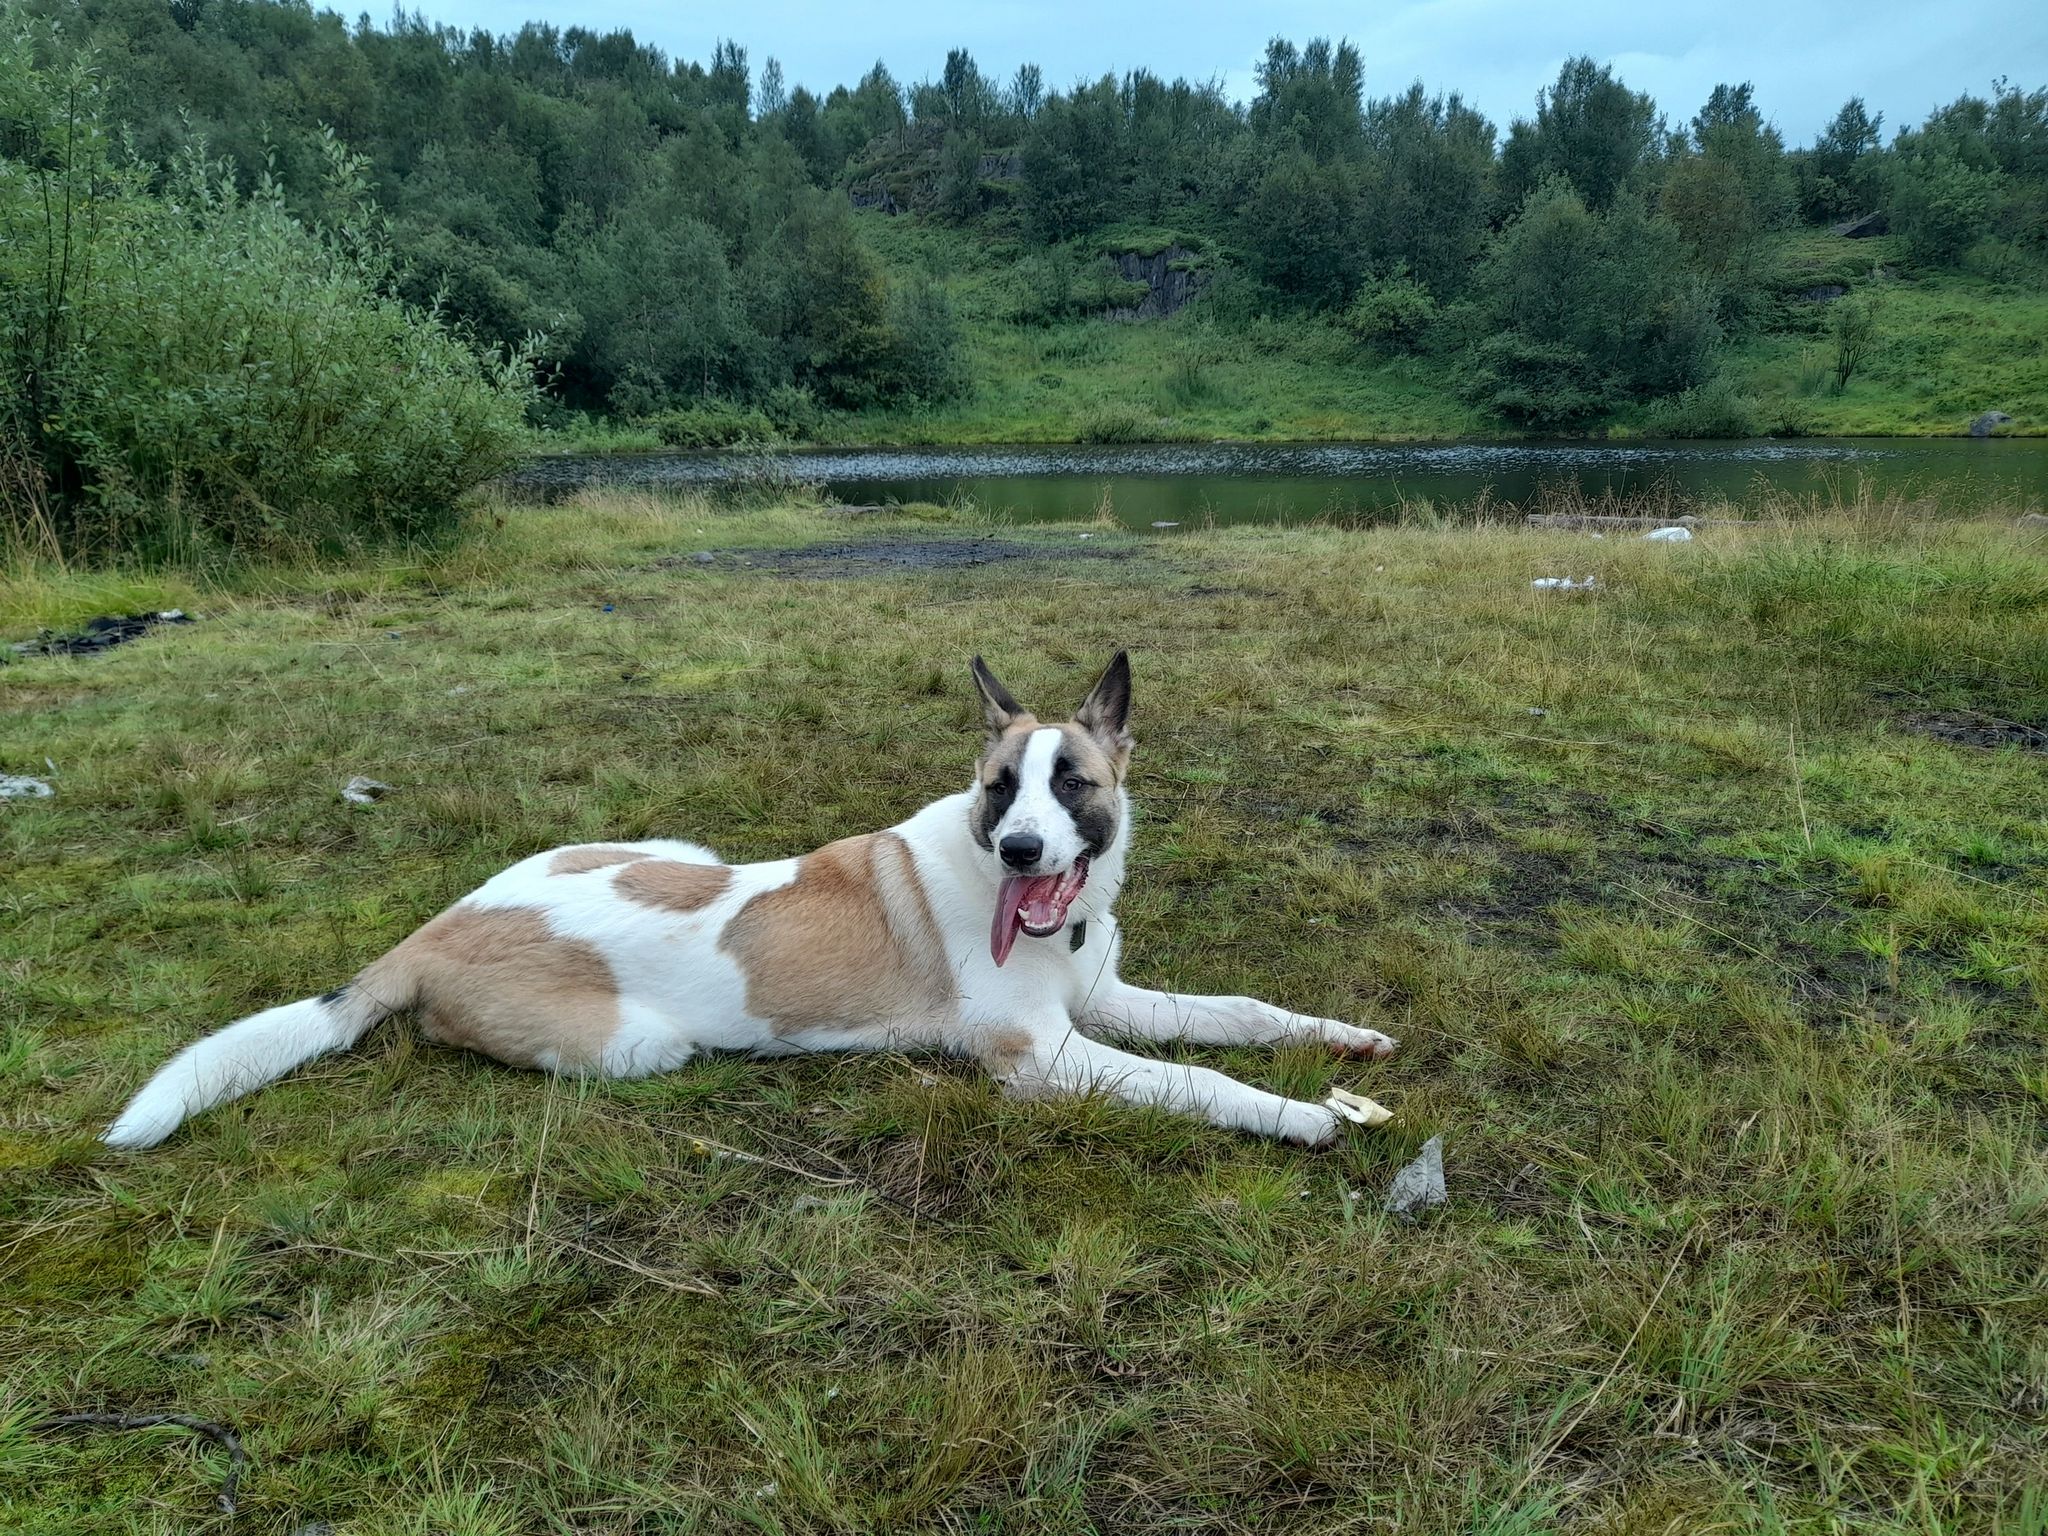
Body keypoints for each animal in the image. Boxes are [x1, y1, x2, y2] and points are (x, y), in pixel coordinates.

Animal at [103, 651, 1400, 1155]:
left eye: (1070, 781)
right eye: (997, 789)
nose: (1024, 848)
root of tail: (433, 929)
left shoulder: (1107, 1001)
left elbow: (1240, 1016)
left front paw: (1341, 1043)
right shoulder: (1044, 1057)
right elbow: (1198, 1080)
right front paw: (1298, 1117)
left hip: (661, 845)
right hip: (642, 1047)